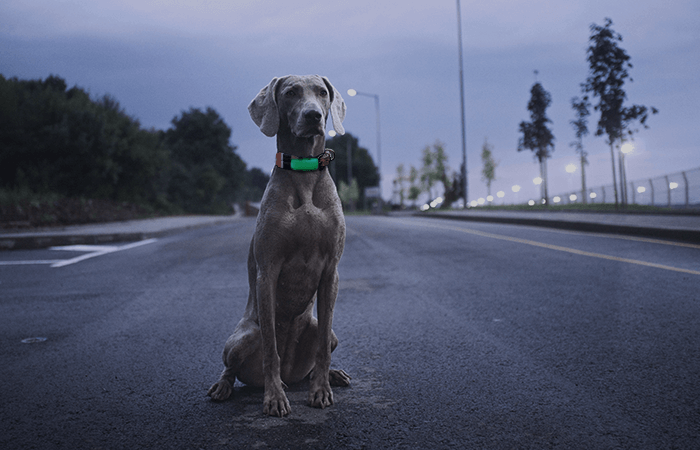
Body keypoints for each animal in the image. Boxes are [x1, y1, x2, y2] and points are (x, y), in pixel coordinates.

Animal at [206, 75, 350, 416]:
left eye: (322, 93)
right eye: (290, 93)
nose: (313, 116)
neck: (304, 171)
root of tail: (290, 374)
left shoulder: (331, 272)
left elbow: (323, 347)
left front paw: (321, 391)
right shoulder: (267, 271)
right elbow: (271, 347)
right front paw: (273, 398)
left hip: (323, 331)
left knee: (321, 346)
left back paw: (331, 375)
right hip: (242, 337)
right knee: (232, 366)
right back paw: (224, 387)